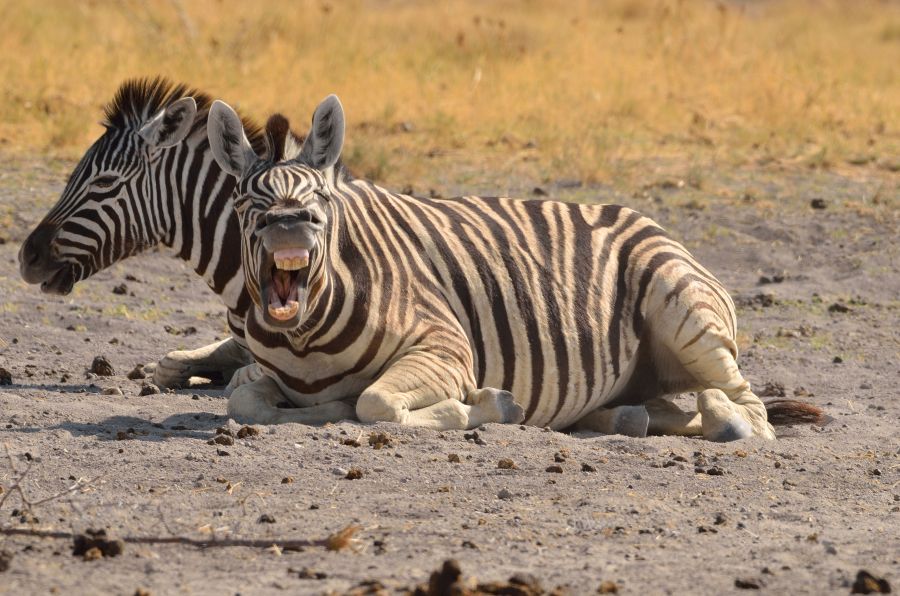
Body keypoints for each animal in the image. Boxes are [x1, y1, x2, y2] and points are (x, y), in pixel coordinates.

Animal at [206, 95, 823, 440]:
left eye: (321, 200)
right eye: (247, 199)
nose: (291, 225)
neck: (306, 343)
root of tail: (659, 228)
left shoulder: (448, 348)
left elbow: (375, 402)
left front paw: (484, 405)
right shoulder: (257, 370)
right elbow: (243, 397)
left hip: (684, 310)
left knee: (747, 412)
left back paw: (722, 416)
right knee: (661, 408)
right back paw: (620, 419)